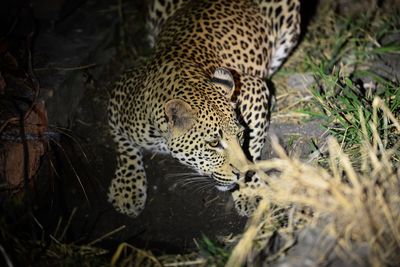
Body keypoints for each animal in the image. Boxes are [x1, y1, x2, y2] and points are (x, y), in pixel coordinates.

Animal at [106, 0, 300, 218]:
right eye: (214, 143)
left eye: (240, 135)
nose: (242, 173)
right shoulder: (119, 93)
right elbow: (124, 147)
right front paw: (126, 190)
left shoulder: (254, 89)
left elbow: (251, 149)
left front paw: (248, 189)